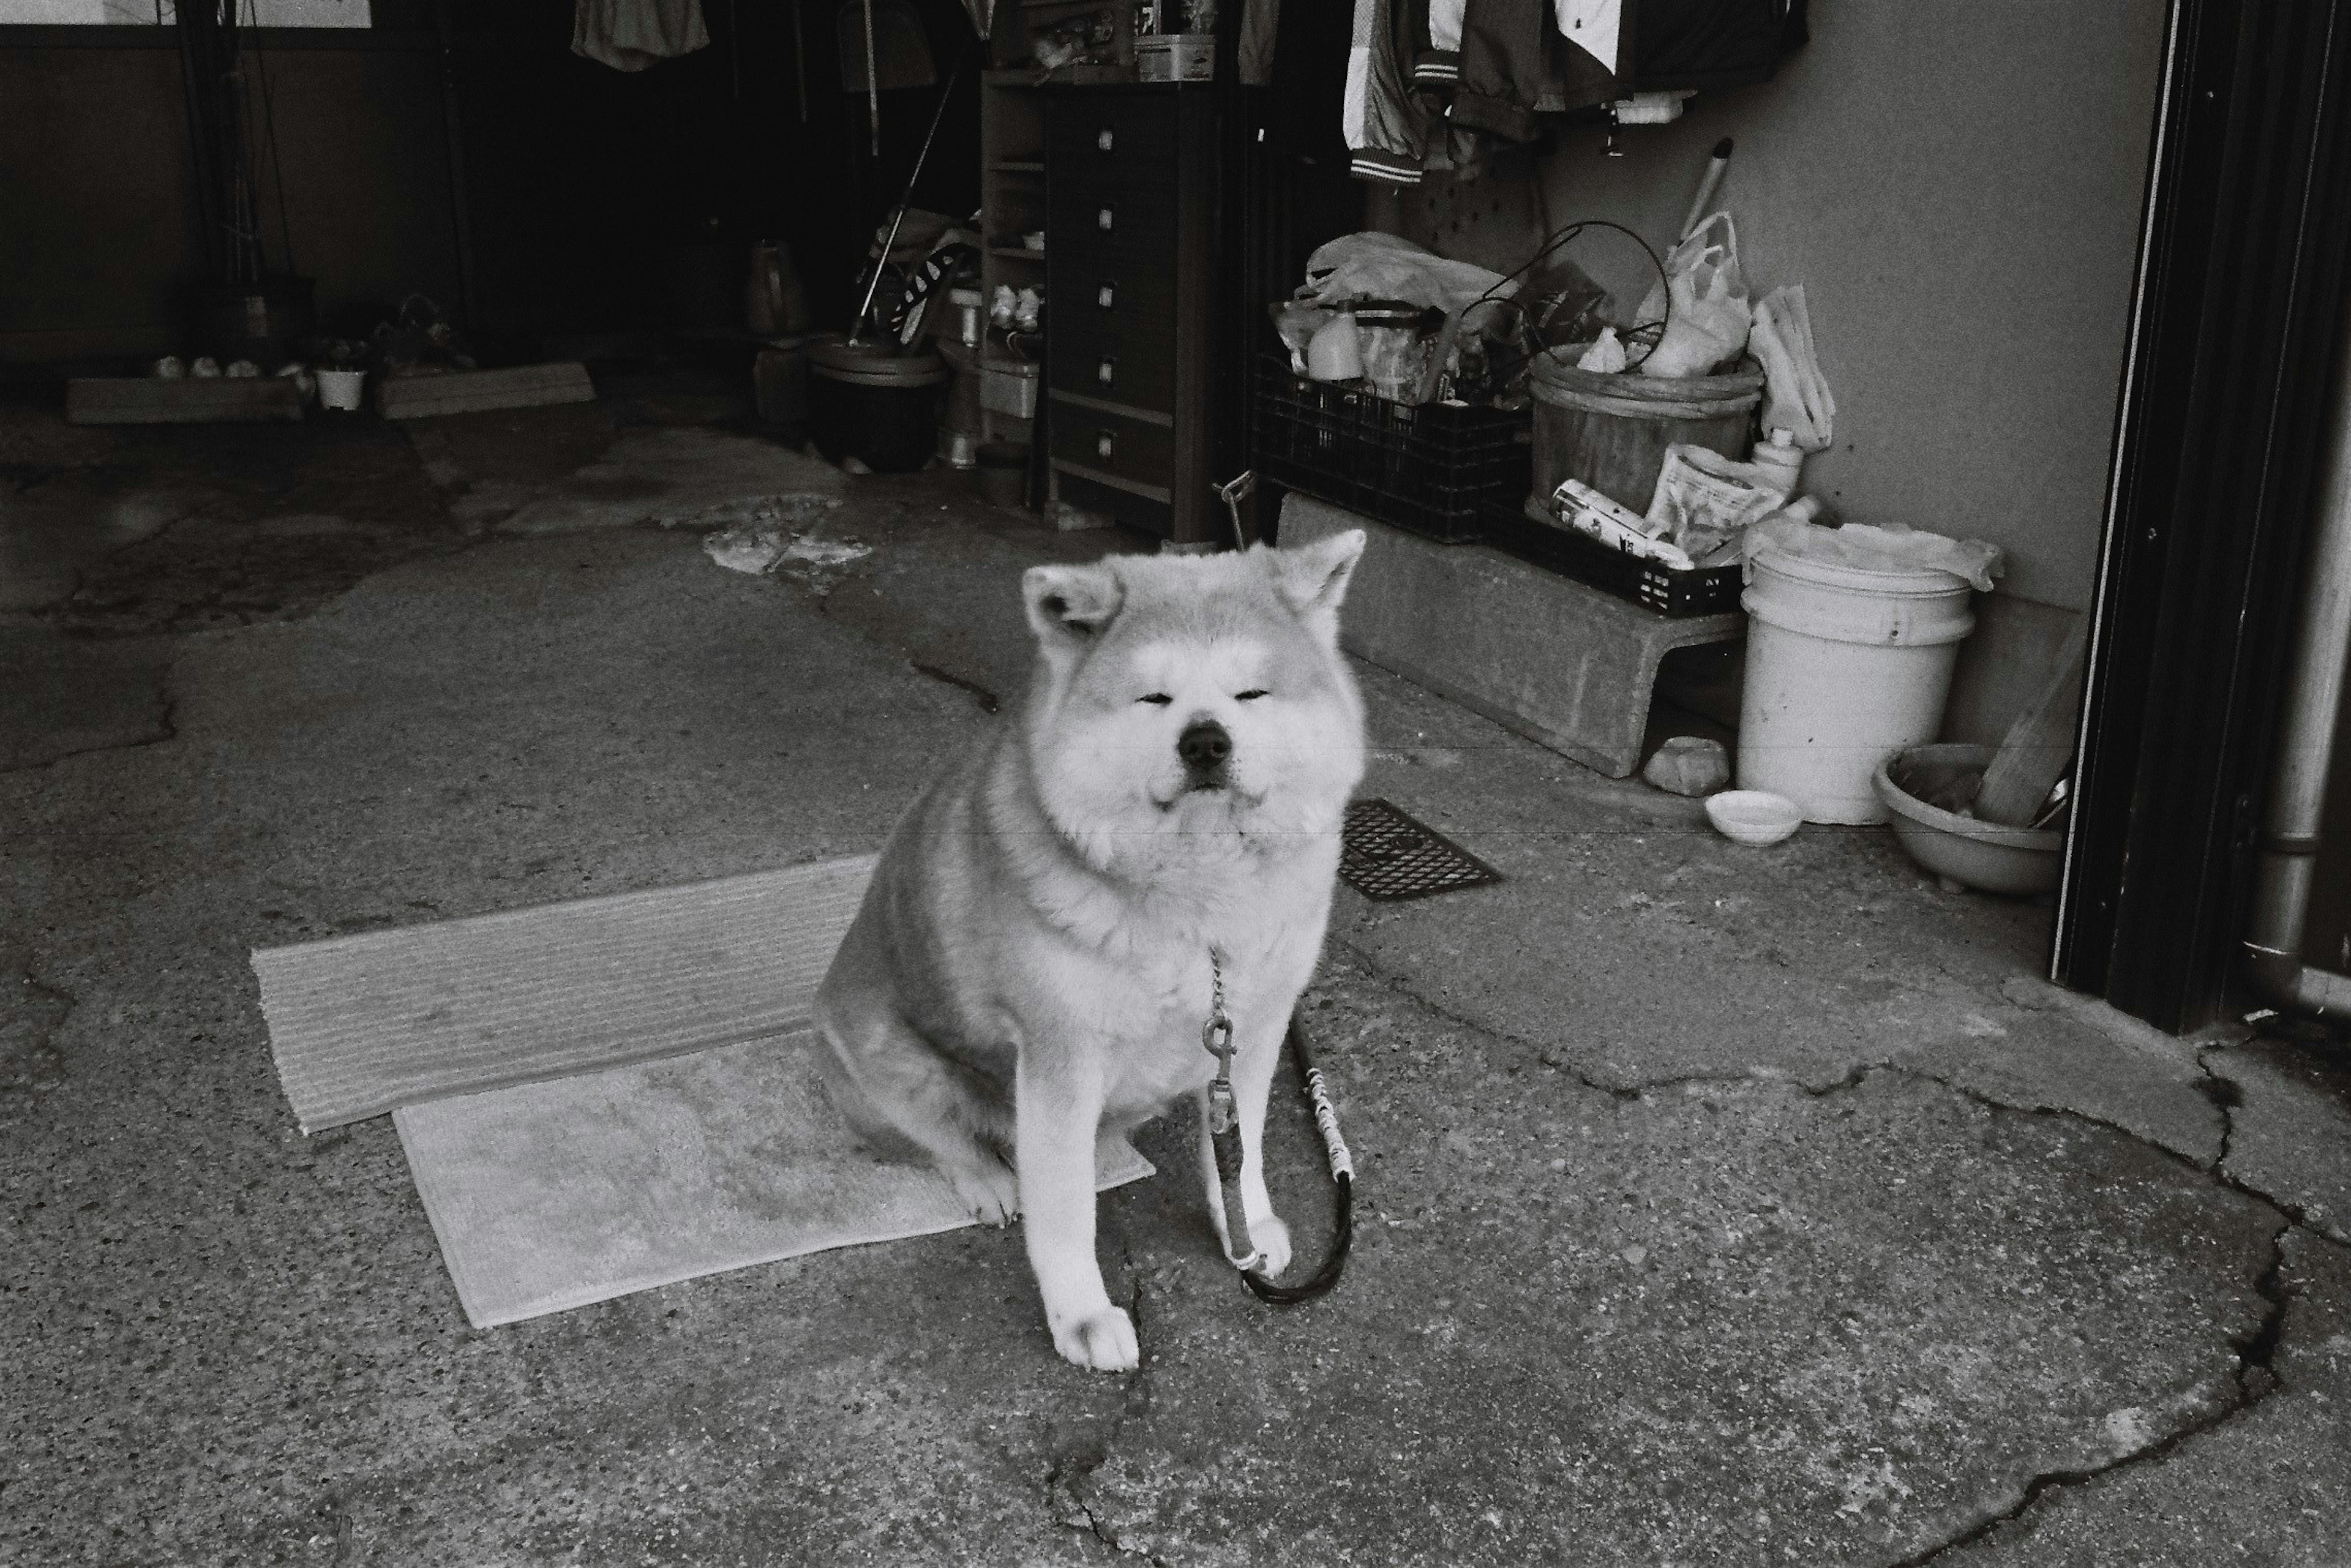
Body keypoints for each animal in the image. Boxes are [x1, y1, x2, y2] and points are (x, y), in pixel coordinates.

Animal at [818, 533, 1373, 1363]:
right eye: (1154, 699)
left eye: (1250, 694)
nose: (1206, 741)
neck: (1200, 897)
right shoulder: (1060, 1058)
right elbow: (1065, 1209)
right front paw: (1080, 1314)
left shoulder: (1253, 1027)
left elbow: (1238, 1152)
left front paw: (1243, 1227)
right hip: (893, 1060)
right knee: (945, 1143)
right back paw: (989, 1179)